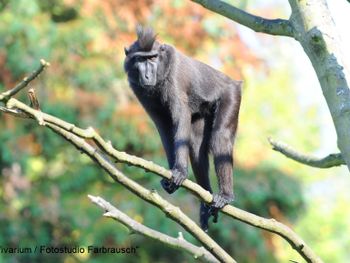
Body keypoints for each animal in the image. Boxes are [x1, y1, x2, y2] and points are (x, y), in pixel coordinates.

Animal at [123, 26, 241, 231]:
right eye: (140, 59)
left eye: (152, 58)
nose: (147, 76)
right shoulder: (138, 89)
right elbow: (164, 127)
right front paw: (172, 176)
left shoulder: (175, 77)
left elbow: (180, 117)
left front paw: (179, 171)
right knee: (196, 148)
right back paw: (205, 204)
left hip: (232, 95)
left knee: (220, 138)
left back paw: (225, 196)